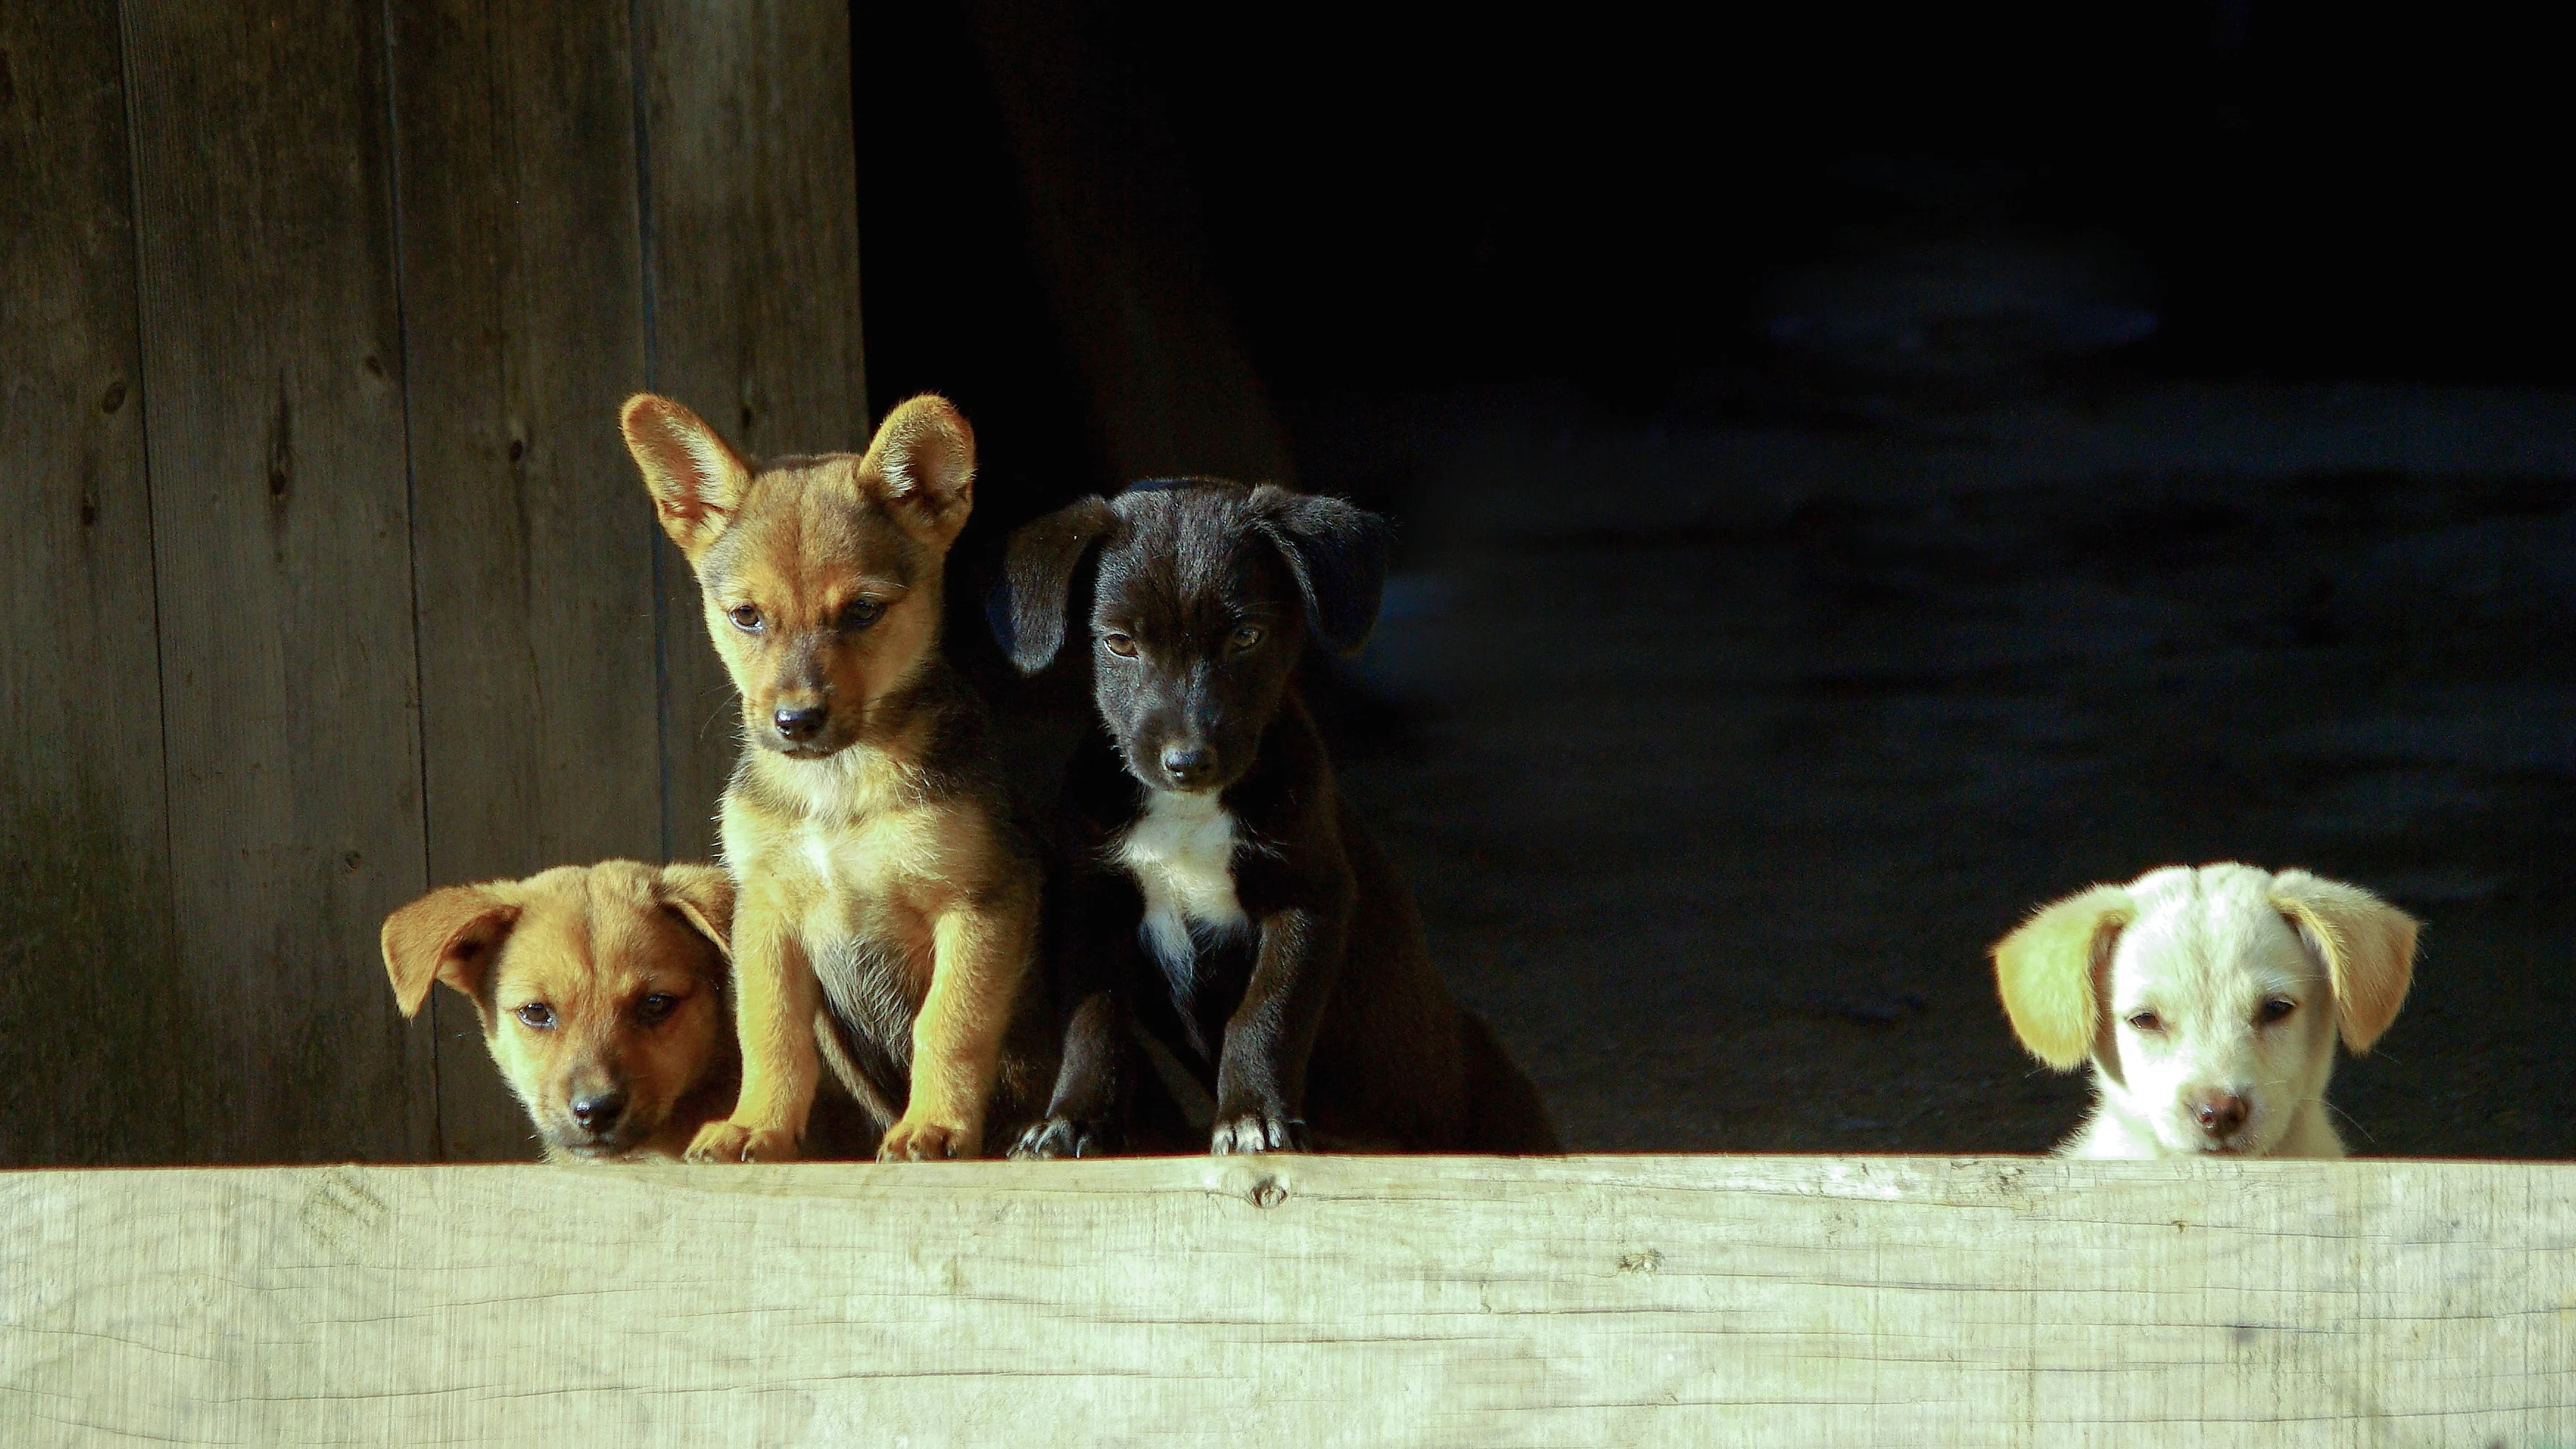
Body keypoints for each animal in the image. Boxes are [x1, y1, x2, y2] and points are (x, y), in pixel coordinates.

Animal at [623, 389, 1056, 1155]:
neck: (839, 785)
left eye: (862, 611)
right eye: (746, 616)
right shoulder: (766, 913)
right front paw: (756, 1125)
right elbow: (772, 1034)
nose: (796, 721)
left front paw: (934, 1124)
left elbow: (951, 1024)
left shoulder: (980, 902)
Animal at [989, 480, 1556, 1155]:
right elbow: (1093, 1023)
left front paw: (1252, 1116)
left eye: (1246, 638)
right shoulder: (1090, 902)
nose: (1188, 761)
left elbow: (1264, 1015)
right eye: (1119, 643)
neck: (1189, 811)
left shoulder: (1306, 897)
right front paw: (1072, 1118)